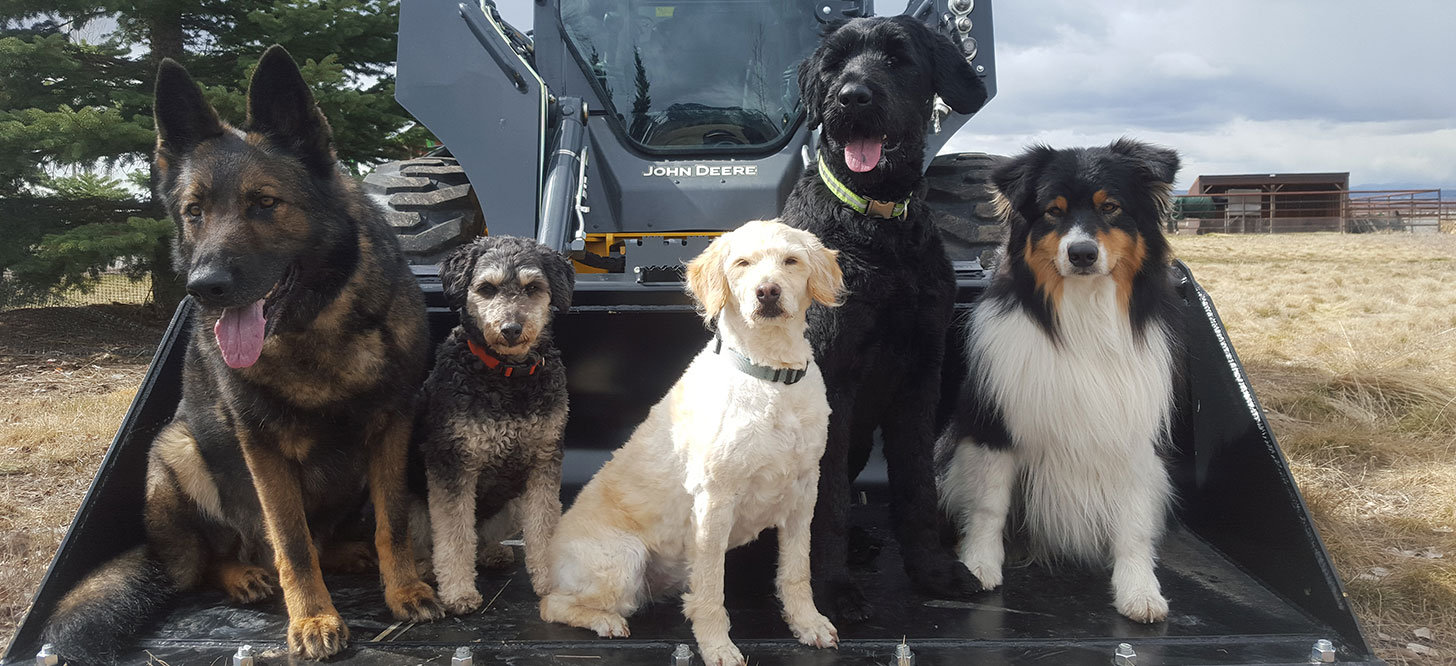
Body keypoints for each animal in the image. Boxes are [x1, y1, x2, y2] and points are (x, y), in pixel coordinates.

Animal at [45, 45, 442, 658]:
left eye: (265, 203)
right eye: (194, 211)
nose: (202, 287)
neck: (314, 328)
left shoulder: (391, 426)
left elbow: (392, 521)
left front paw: (401, 589)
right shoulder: (262, 447)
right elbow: (291, 542)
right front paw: (312, 618)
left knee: (315, 541)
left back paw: (347, 554)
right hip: (179, 451)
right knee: (208, 563)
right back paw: (244, 576)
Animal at [416, 234, 573, 612]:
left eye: (532, 288)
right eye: (486, 288)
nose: (511, 329)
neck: (508, 376)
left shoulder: (544, 462)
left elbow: (544, 526)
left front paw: (551, 582)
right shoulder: (452, 464)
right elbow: (454, 535)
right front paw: (459, 592)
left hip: (513, 504)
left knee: (482, 538)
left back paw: (492, 553)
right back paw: (425, 568)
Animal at [541, 220, 844, 664]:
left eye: (791, 261)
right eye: (742, 263)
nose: (767, 292)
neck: (769, 375)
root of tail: (546, 556)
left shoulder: (804, 491)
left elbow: (796, 572)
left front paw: (808, 623)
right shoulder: (713, 502)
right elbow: (711, 590)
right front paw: (717, 646)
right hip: (624, 558)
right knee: (551, 604)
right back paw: (605, 621)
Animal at [786, 15, 990, 620]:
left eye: (898, 58)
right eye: (833, 63)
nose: (851, 96)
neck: (875, 225)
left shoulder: (921, 372)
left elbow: (917, 485)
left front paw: (933, 572)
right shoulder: (832, 377)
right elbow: (827, 502)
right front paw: (830, 589)